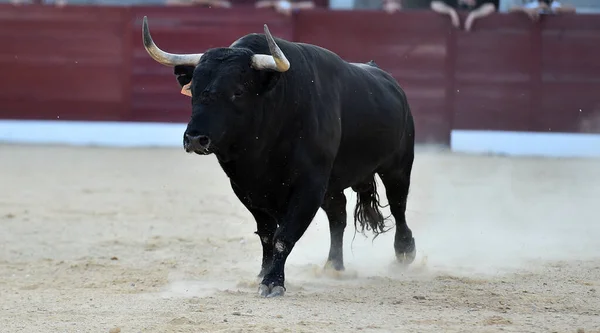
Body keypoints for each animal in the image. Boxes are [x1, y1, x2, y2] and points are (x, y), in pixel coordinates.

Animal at [142, 16, 414, 296]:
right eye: (194, 90)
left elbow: (284, 236)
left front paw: (273, 282)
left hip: (398, 166)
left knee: (398, 204)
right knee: (338, 214)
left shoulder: (309, 186)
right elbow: (266, 235)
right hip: (333, 185)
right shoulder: (246, 188)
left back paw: (404, 253)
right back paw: (334, 267)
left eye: (238, 92)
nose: (195, 138)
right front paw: (262, 274)